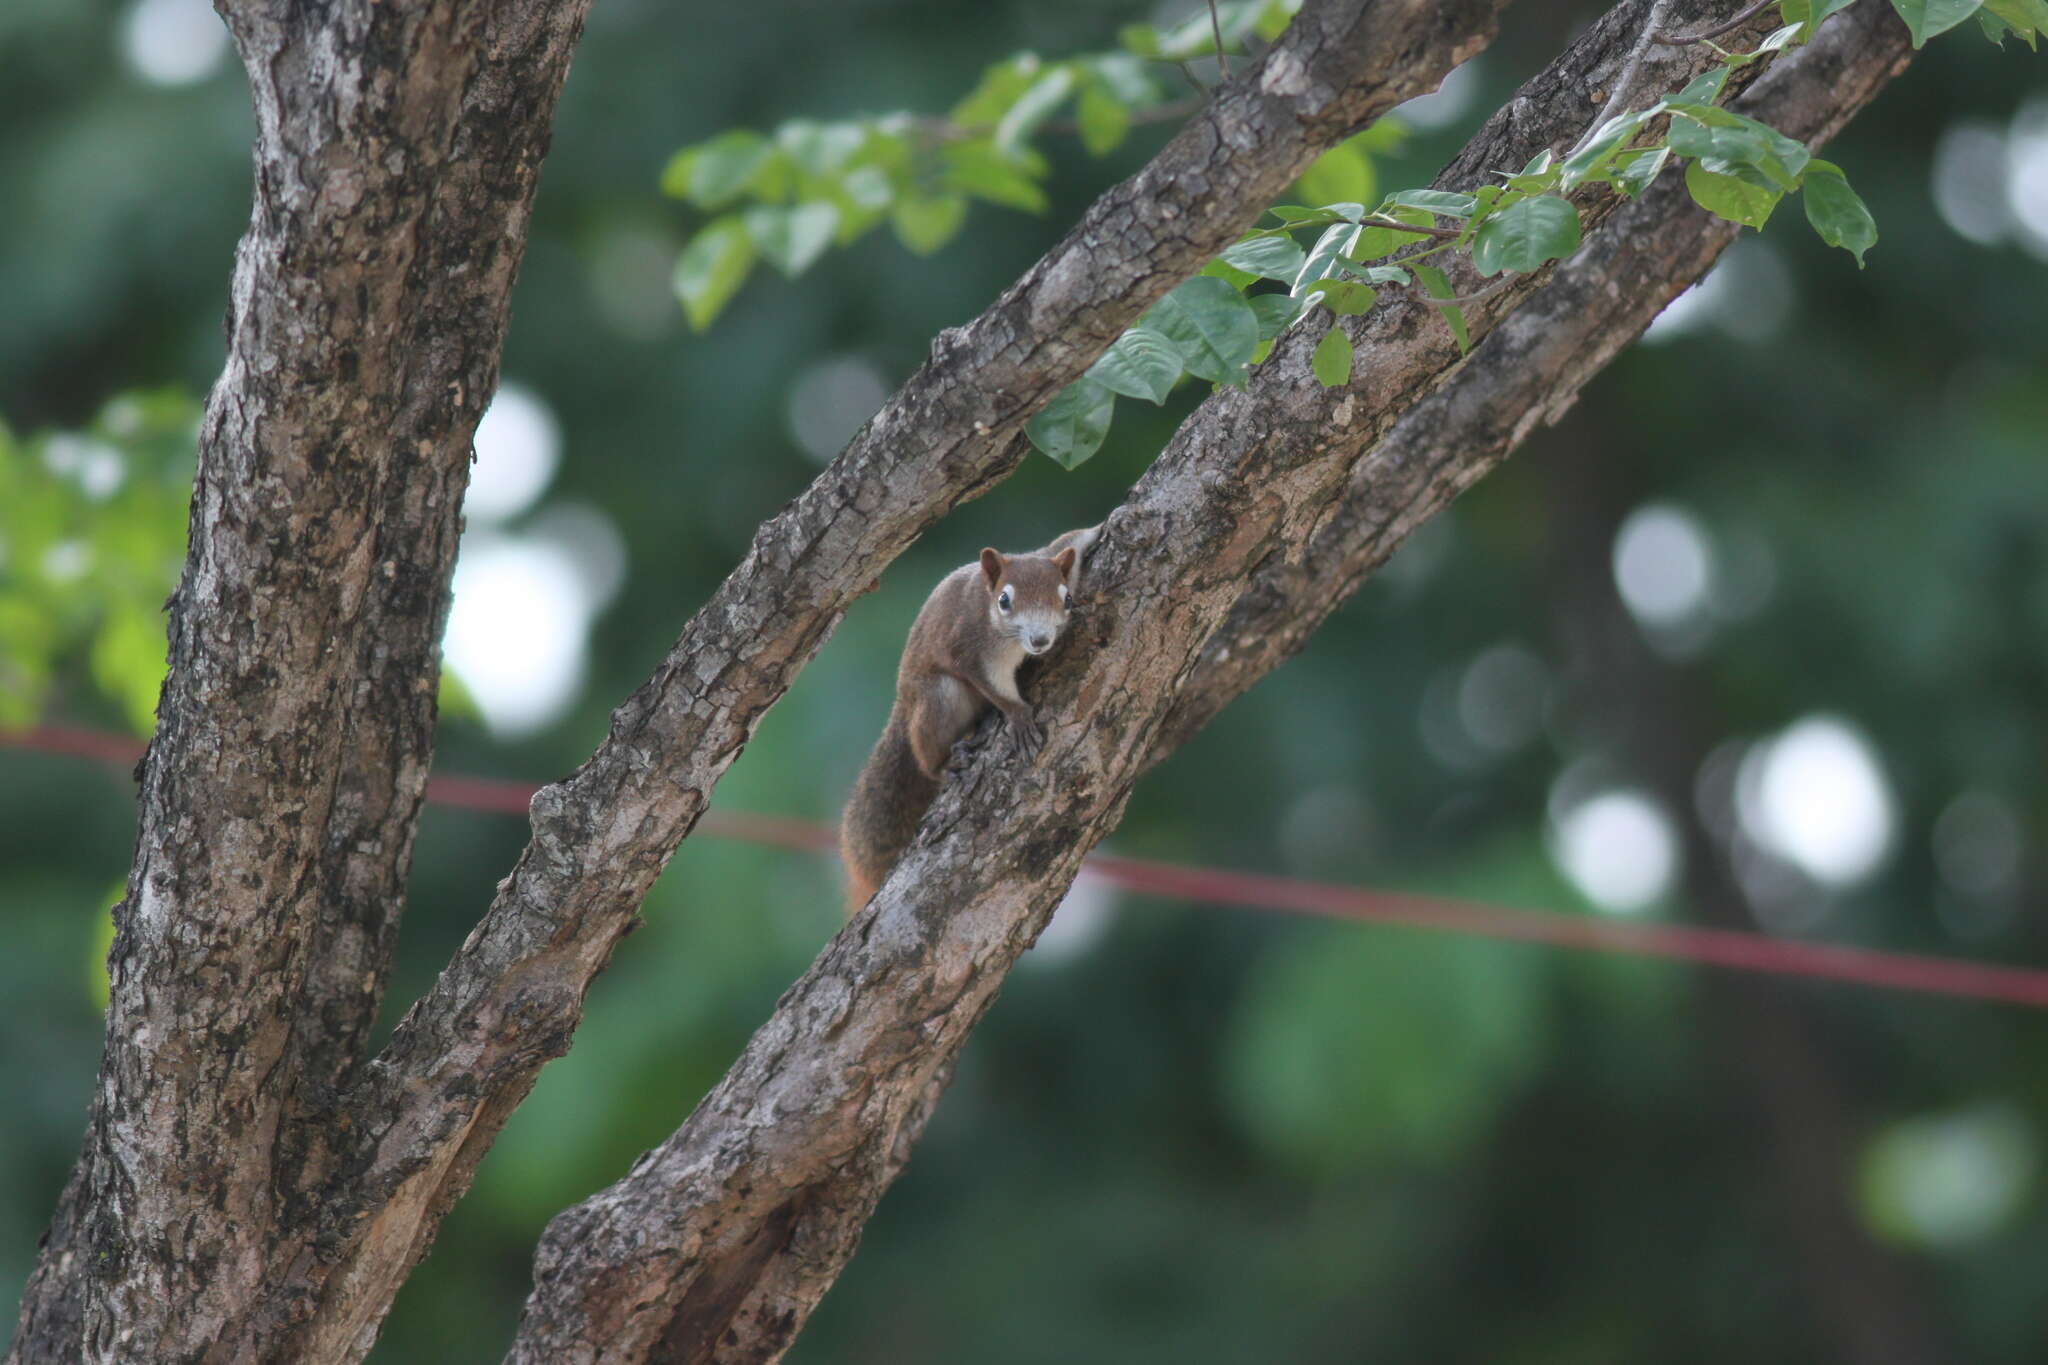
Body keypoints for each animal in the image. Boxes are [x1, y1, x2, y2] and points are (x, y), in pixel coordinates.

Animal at [835, 527, 1097, 912]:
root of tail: (904, 702)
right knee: (926, 753)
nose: (1040, 640)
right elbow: (995, 688)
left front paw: (1100, 526)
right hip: (939, 698)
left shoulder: (1044, 555)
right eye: (1004, 601)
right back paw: (945, 764)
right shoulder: (970, 651)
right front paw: (1019, 718)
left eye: (1067, 599)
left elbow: (1068, 541)